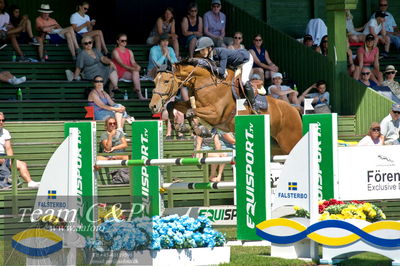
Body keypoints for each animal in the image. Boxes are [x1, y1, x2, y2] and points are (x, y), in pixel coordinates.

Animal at [148, 58, 302, 154]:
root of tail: (294, 109)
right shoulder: (192, 104)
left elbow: (190, 112)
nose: (153, 106)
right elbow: (173, 105)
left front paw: (197, 130)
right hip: (275, 147)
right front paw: (183, 128)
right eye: (155, 81)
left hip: (289, 142)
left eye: (166, 81)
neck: (204, 82)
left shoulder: (216, 114)